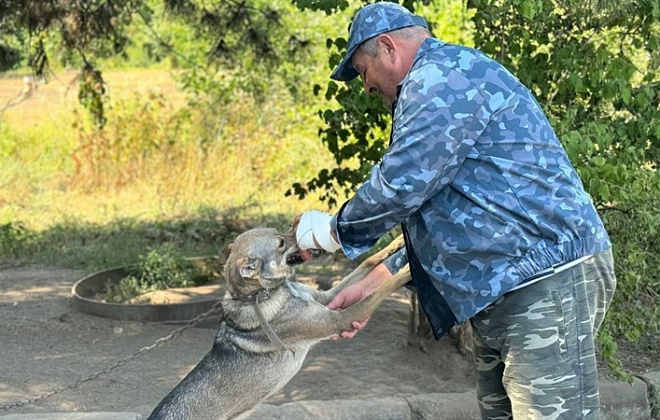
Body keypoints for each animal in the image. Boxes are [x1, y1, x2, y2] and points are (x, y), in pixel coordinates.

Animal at [147, 230, 410, 420]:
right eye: (281, 243)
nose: (306, 235)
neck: (261, 294)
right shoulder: (336, 319)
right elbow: (380, 289)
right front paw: (408, 271)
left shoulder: (327, 298)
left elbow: (367, 264)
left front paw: (398, 243)